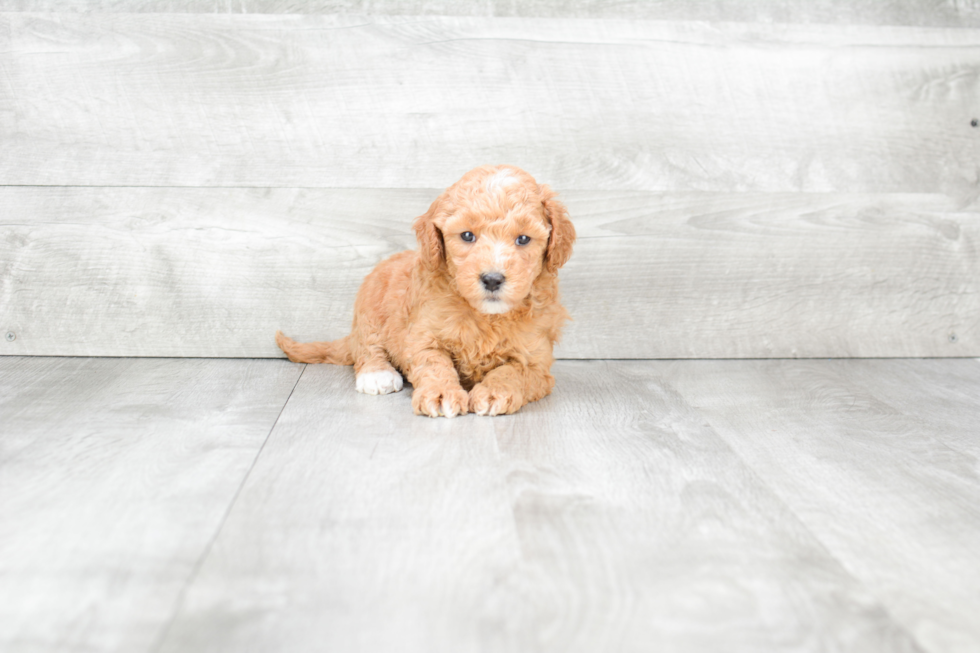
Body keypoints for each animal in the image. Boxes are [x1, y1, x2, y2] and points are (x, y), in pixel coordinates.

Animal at [276, 164, 576, 418]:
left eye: (523, 239)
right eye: (467, 236)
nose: (492, 279)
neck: (485, 316)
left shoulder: (536, 361)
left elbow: (513, 372)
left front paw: (494, 392)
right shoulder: (423, 335)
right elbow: (434, 363)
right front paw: (441, 394)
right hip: (369, 308)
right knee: (367, 347)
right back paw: (378, 374)